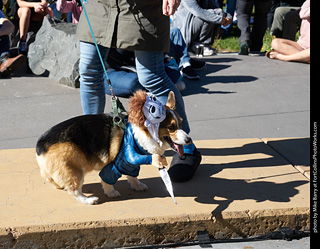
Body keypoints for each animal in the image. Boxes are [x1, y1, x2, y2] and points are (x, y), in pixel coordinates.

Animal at [35, 91, 190, 204]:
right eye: (171, 127)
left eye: (181, 123)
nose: (189, 140)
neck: (139, 133)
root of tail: (40, 144)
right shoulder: (117, 163)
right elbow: (107, 180)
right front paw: (111, 193)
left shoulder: (131, 165)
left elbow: (133, 176)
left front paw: (137, 186)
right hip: (76, 168)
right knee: (75, 190)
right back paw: (88, 200)